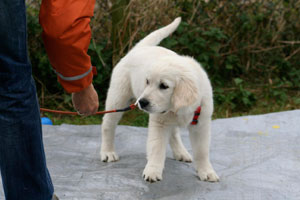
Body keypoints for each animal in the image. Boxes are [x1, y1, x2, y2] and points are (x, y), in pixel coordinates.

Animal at [99, 17, 219, 183]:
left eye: (164, 86)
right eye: (147, 82)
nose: (142, 102)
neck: (177, 108)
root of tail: (140, 48)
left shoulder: (201, 124)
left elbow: (202, 151)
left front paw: (206, 171)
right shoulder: (159, 123)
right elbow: (157, 148)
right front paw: (152, 171)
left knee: (173, 132)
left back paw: (181, 152)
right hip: (118, 96)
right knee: (108, 125)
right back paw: (108, 152)